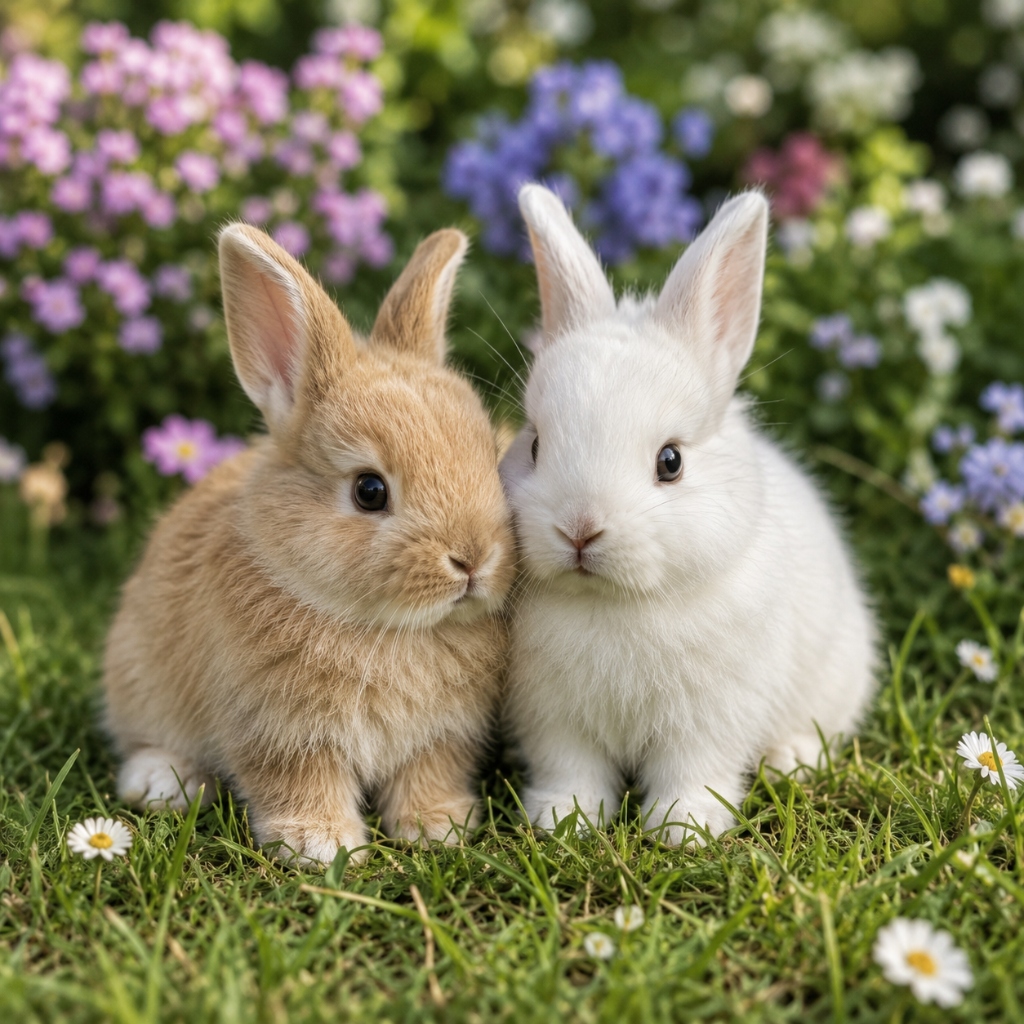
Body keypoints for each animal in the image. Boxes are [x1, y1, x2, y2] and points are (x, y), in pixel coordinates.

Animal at [103, 223, 516, 864]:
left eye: (493, 460)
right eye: (369, 491)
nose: (473, 559)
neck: (390, 630)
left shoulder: (444, 736)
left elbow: (428, 773)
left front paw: (440, 825)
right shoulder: (279, 732)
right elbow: (299, 781)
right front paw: (320, 845)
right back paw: (160, 783)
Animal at [499, 184, 877, 845]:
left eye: (670, 461)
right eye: (536, 445)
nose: (578, 529)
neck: (615, 605)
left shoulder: (709, 719)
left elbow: (693, 770)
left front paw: (683, 828)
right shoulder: (554, 719)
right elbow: (571, 768)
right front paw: (565, 821)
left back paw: (790, 761)